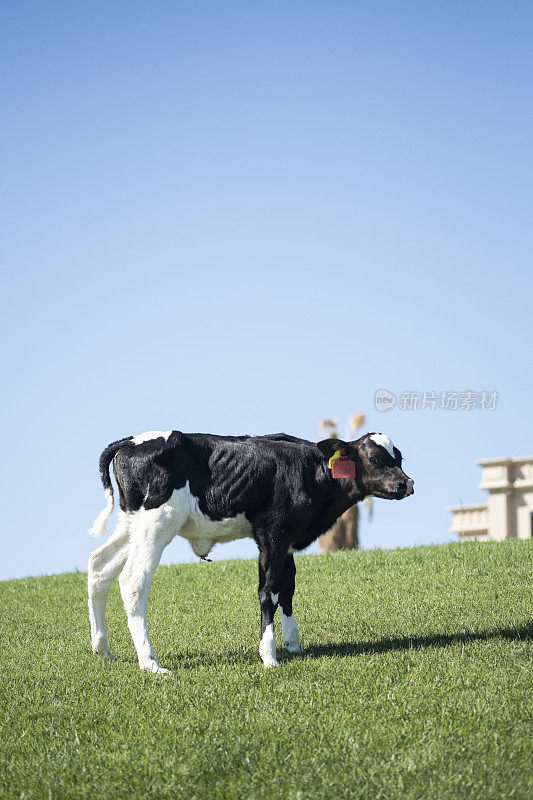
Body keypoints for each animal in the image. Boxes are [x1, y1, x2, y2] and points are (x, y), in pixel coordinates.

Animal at [87, 428, 414, 672]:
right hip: (155, 525)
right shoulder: (272, 534)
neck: (309, 470)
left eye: (399, 457)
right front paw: (269, 654)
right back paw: (150, 663)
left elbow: (288, 587)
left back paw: (103, 649)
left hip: (131, 525)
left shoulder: (287, 539)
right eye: (374, 458)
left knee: (99, 565)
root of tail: (130, 441)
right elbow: (269, 589)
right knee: (133, 582)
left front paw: (293, 643)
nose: (406, 483)